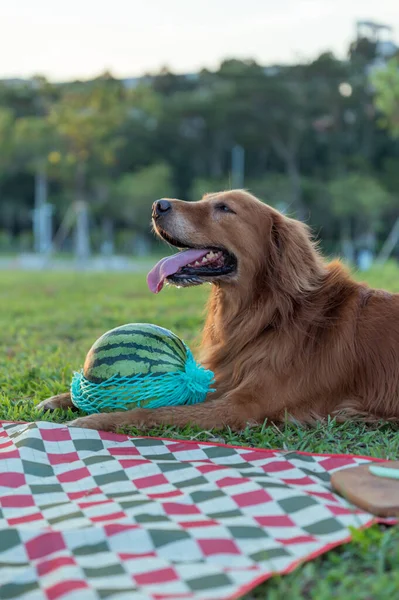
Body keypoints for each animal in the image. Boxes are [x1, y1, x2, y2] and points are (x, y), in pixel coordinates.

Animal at [38, 190, 399, 428]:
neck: (268, 315)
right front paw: (64, 399)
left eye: (224, 208)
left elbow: (154, 412)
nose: (157, 205)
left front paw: (95, 420)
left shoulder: (244, 406)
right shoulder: (226, 378)